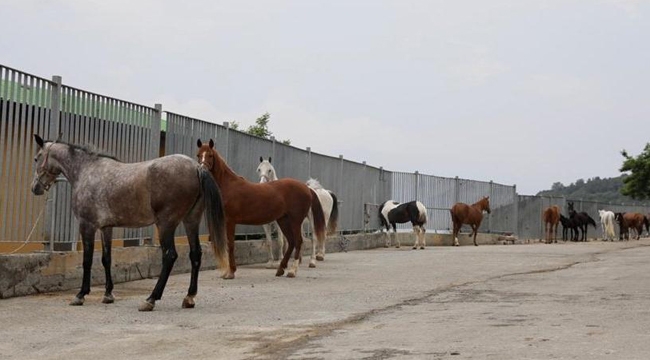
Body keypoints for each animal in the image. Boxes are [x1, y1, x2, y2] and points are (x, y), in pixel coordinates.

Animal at [194, 139, 322, 278]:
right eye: (198, 155)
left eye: (210, 155)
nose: (202, 170)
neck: (229, 185)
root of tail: (307, 188)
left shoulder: (230, 221)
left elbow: (230, 245)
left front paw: (231, 272)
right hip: (283, 220)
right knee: (292, 242)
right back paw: (280, 269)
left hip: (295, 221)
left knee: (298, 241)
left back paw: (292, 270)